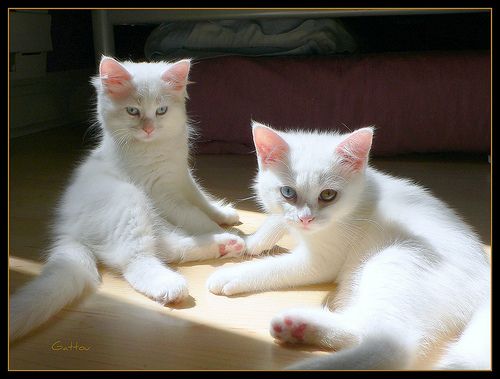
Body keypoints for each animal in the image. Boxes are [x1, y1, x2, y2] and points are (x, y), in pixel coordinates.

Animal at [10, 58, 246, 342]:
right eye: (133, 111)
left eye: (161, 110)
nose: (148, 128)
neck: (154, 148)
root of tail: (68, 231)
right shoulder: (160, 194)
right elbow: (195, 215)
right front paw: (240, 235)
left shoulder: (182, 176)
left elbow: (202, 200)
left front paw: (225, 216)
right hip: (130, 204)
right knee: (136, 261)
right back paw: (174, 283)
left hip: (150, 220)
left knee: (169, 248)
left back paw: (225, 244)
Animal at [205, 121, 490, 372]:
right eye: (288, 192)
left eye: (328, 195)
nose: (306, 219)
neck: (358, 200)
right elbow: (277, 219)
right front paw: (248, 241)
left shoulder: (322, 261)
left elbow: (278, 267)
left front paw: (231, 274)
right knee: (362, 326)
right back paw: (299, 327)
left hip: (395, 261)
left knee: (393, 345)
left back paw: (311, 364)